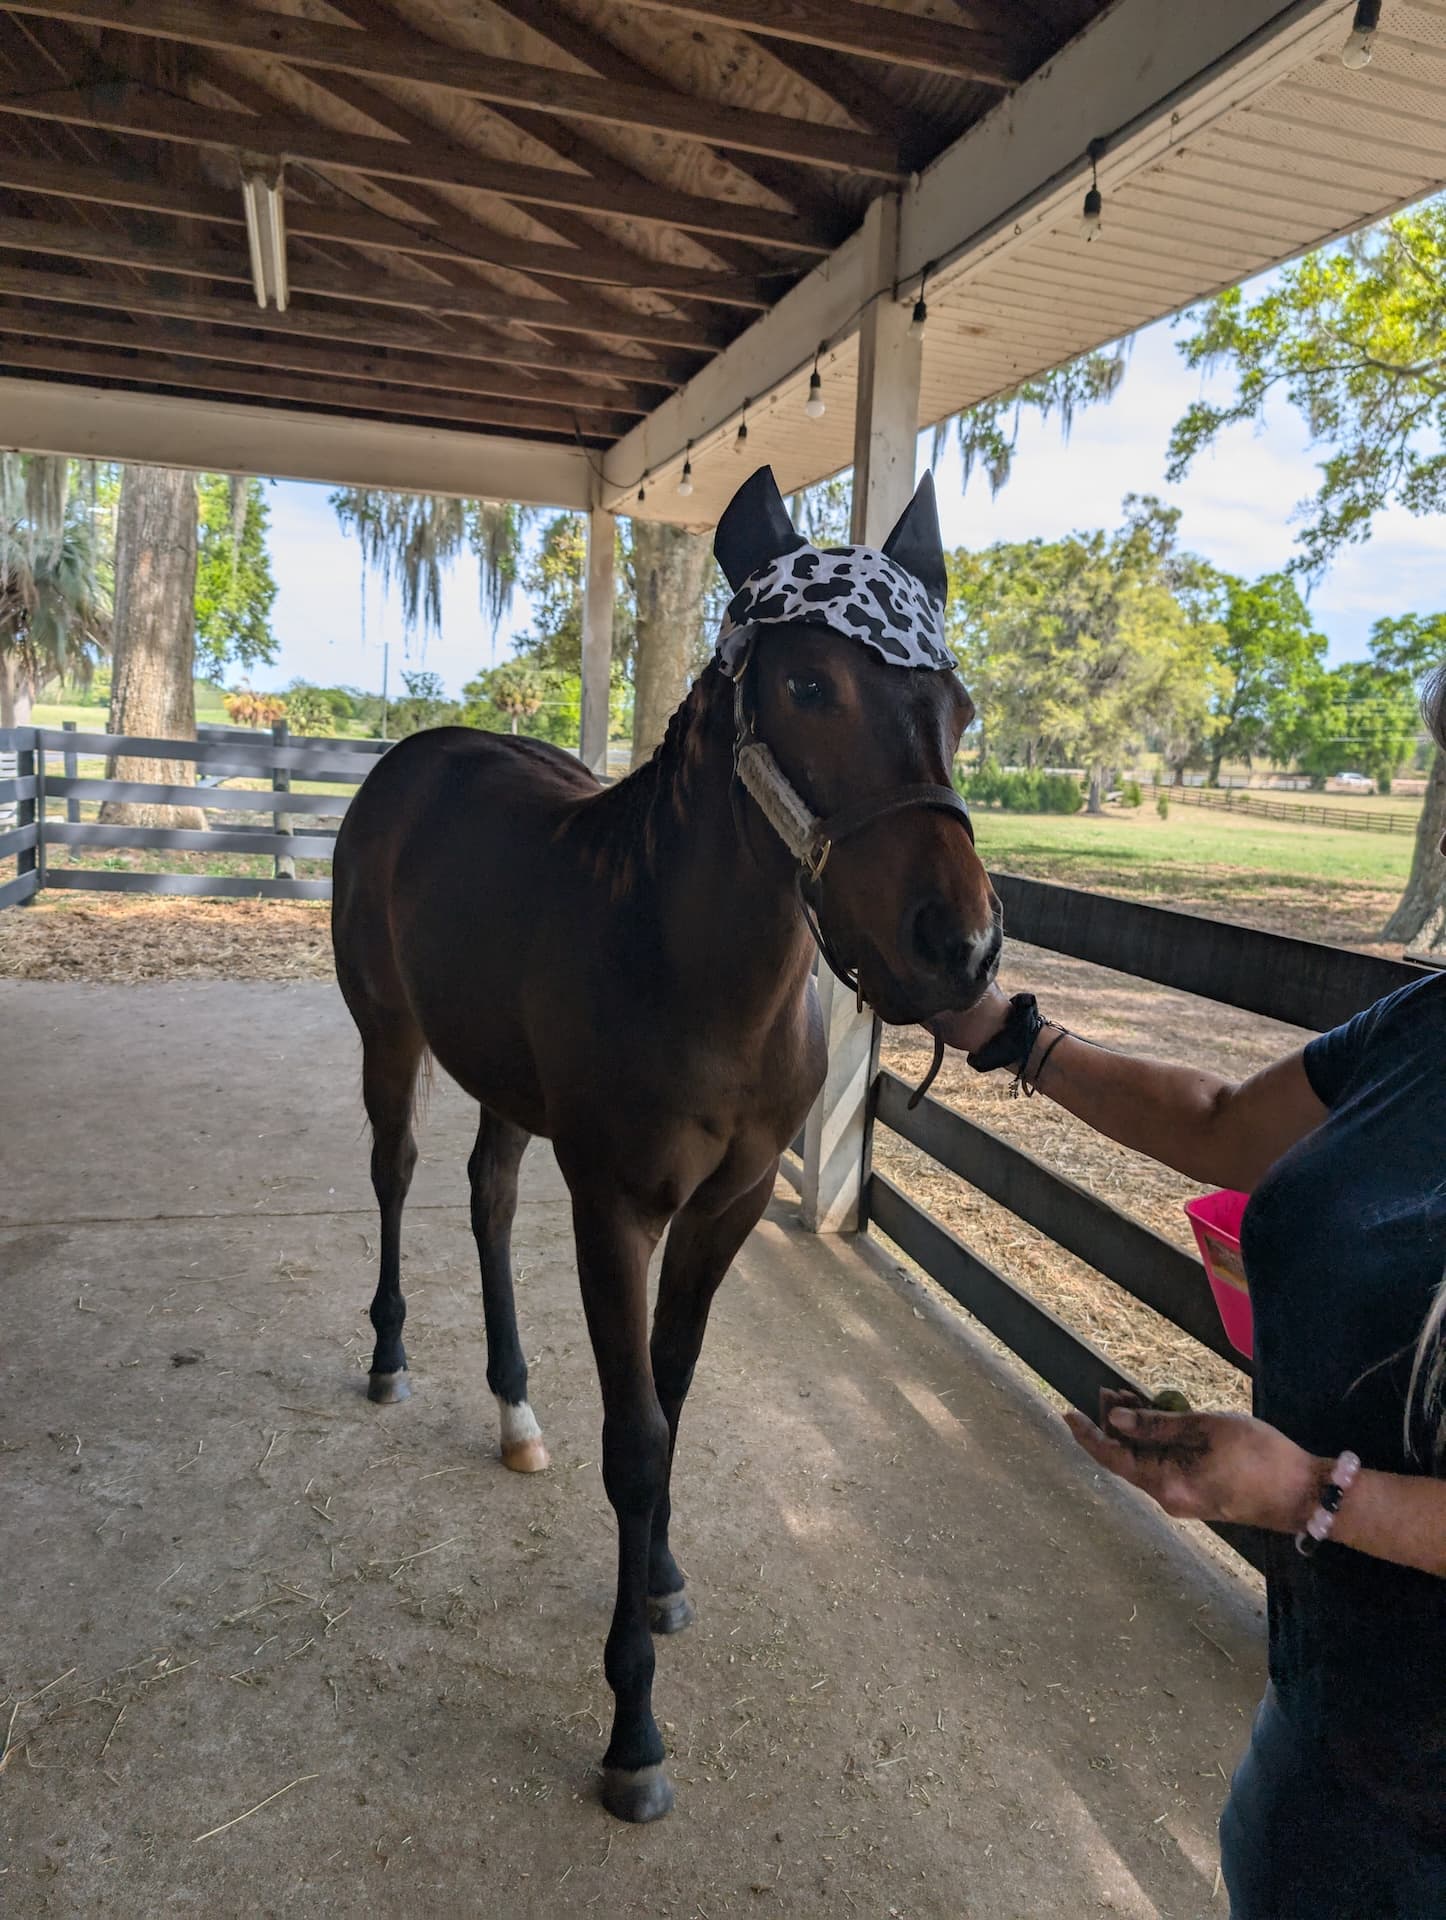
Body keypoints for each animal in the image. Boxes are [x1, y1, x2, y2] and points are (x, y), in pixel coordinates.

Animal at [331, 466, 1000, 1823]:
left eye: (955, 704)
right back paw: (390, 1356)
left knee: (485, 1198)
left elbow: (675, 1394)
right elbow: (636, 1439)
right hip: (391, 1036)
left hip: (504, 1085)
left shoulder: (725, 1207)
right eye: (809, 686)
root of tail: (418, 759)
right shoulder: (617, 1209)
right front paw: (631, 1726)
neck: (691, 971)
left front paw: (661, 1576)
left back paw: (516, 1410)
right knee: (397, 1176)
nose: (958, 948)